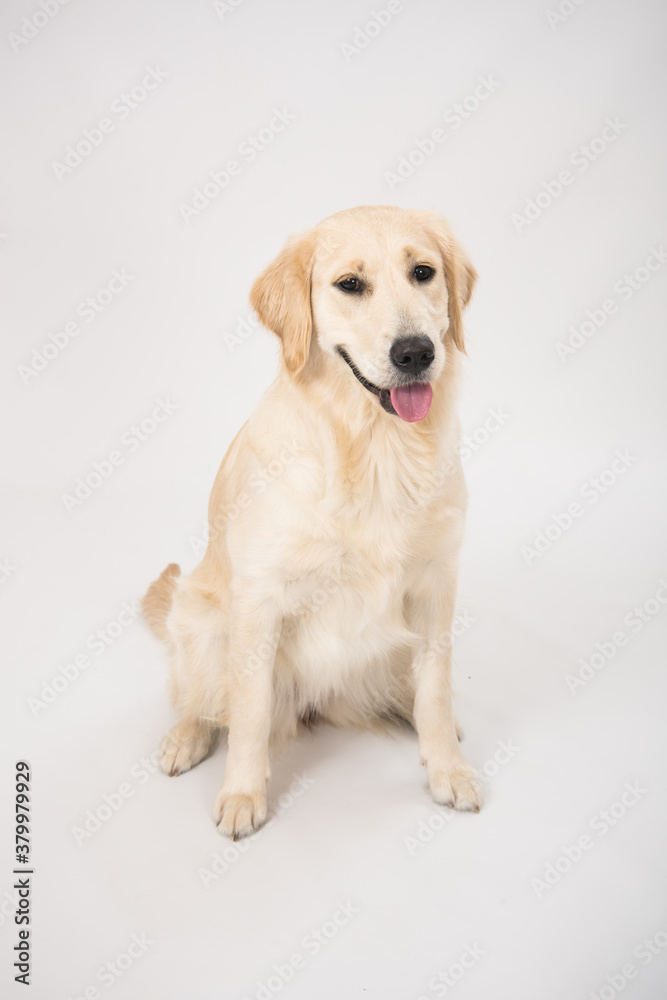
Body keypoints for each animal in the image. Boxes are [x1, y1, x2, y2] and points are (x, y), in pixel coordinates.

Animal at [144, 207, 482, 840]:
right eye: (350, 284)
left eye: (423, 272)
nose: (416, 352)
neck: (375, 449)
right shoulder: (259, 599)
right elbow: (249, 713)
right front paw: (242, 794)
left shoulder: (436, 583)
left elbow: (435, 688)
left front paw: (448, 768)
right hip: (200, 617)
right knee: (199, 695)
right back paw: (186, 737)